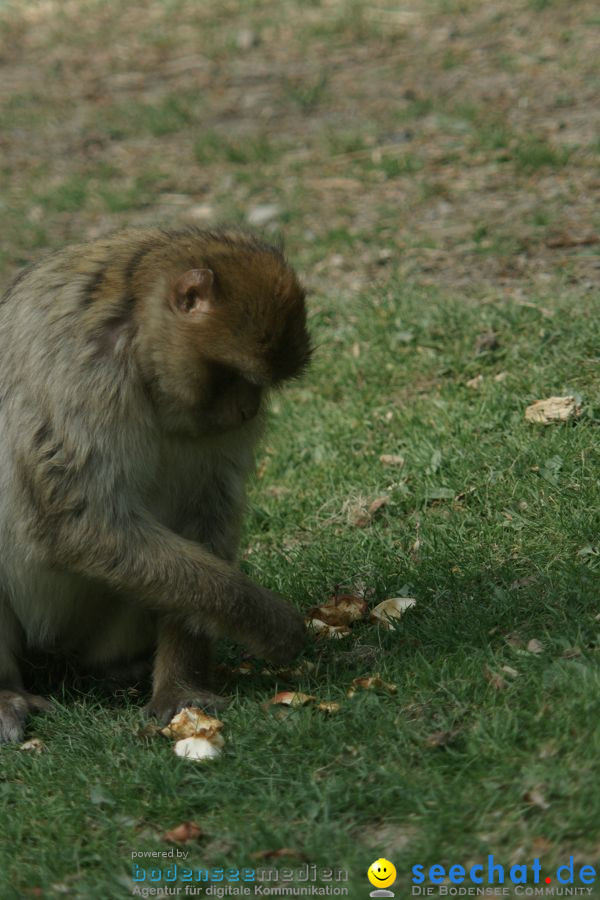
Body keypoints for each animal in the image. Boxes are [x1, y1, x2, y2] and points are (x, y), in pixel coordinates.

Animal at [0, 229, 310, 740]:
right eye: (235, 375)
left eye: (258, 386)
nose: (248, 410)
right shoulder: (84, 373)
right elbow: (77, 522)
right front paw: (268, 622)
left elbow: (203, 509)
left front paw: (182, 687)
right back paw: (6, 694)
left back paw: (121, 667)